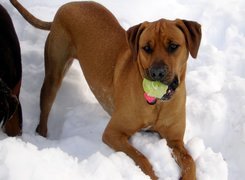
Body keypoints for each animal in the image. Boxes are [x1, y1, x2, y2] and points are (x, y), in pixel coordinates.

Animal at [10, 0, 202, 179]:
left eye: (173, 46)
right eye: (146, 48)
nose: (156, 73)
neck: (158, 104)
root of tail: (65, 7)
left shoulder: (175, 140)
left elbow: (190, 162)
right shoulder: (113, 133)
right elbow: (141, 158)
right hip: (54, 73)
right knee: (45, 107)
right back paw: (42, 135)